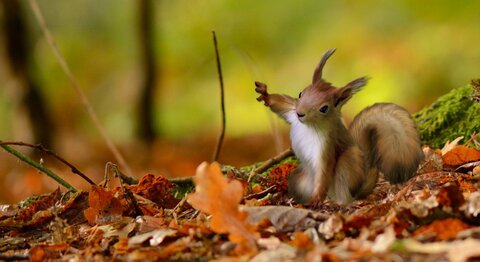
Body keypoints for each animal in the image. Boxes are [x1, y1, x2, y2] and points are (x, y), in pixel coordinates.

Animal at [255, 48, 424, 205]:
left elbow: (324, 170)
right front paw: (265, 94)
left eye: (324, 108)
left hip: (347, 163)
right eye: (301, 93)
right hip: (300, 177)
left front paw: (316, 198)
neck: (309, 125)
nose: (300, 113)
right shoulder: (291, 112)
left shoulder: (326, 146)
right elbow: (280, 105)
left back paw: (340, 204)